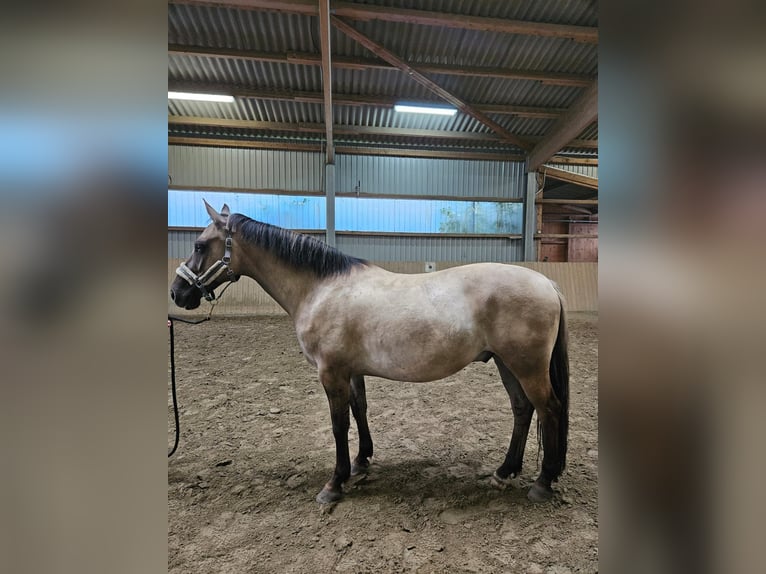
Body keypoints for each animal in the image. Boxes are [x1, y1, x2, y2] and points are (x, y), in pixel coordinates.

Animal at [174, 201, 568, 504]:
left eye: (199, 245)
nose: (178, 292)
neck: (322, 288)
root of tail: (547, 283)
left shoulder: (330, 372)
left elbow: (338, 424)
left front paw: (335, 483)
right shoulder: (351, 371)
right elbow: (359, 410)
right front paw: (361, 461)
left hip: (526, 367)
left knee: (549, 409)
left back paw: (542, 483)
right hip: (506, 364)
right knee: (522, 409)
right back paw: (505, 471)